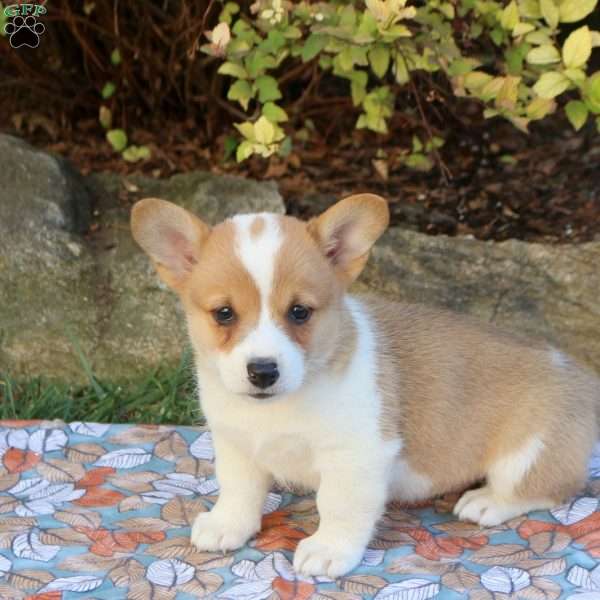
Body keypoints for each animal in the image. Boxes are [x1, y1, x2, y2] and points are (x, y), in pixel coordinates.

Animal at [132, 195, 600, 580]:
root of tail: (582, 377)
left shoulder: (356, 456)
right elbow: (238, 491)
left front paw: (328, 550)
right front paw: (227, 525)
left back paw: (487, 501)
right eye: (224, 314)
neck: (281, 406)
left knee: (553, 488)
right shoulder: (236, 445)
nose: (263, 371)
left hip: (527, 454)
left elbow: (338, 506)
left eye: (299, 312)